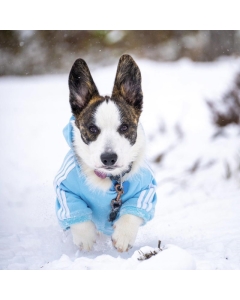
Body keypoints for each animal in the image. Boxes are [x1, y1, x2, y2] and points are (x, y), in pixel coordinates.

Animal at [54, 54, 158, 251]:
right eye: (92, 129)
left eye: (124, 127)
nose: (109, 158)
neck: (110, 179)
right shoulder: (65, 190)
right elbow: (76, 213)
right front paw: (85, 239)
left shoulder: (146, 190)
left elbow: (132, 213)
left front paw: (123, 236)